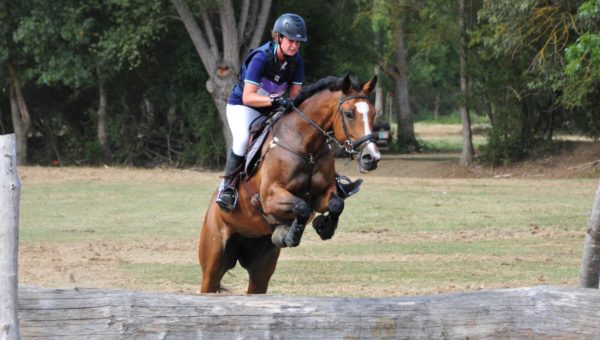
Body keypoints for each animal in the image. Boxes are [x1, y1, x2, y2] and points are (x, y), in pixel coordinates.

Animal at [199, 73, 382, 292]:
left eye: (373, 113)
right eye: (348, 114)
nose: (371, 158)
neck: (307, 147)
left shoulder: (321, 195)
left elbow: (336, 203)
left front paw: (324, 226)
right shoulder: (270, 197)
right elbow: (301, 207)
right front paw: (291, 235)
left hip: (261, 267)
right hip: (213, 259)